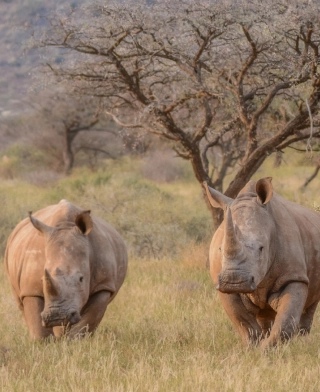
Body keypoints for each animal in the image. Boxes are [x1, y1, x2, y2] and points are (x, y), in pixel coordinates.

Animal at [4, 201, 127, 338]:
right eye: (42, 280)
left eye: (81, 279)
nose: (56, 316)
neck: (66, 226)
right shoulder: (31, 288)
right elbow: (38, 327)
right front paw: (44, 342)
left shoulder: (103, 285)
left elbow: (85, 324)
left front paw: (74, 341)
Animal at [204, 178, 320, 350]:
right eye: (220, 249)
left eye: (261, 248)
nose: (234, 281)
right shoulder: (221, 284)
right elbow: (242, 320)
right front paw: (252, 348)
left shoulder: (294, 276)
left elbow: (286, 319)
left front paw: (267, 349)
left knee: (309, 305)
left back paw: (303, 342)